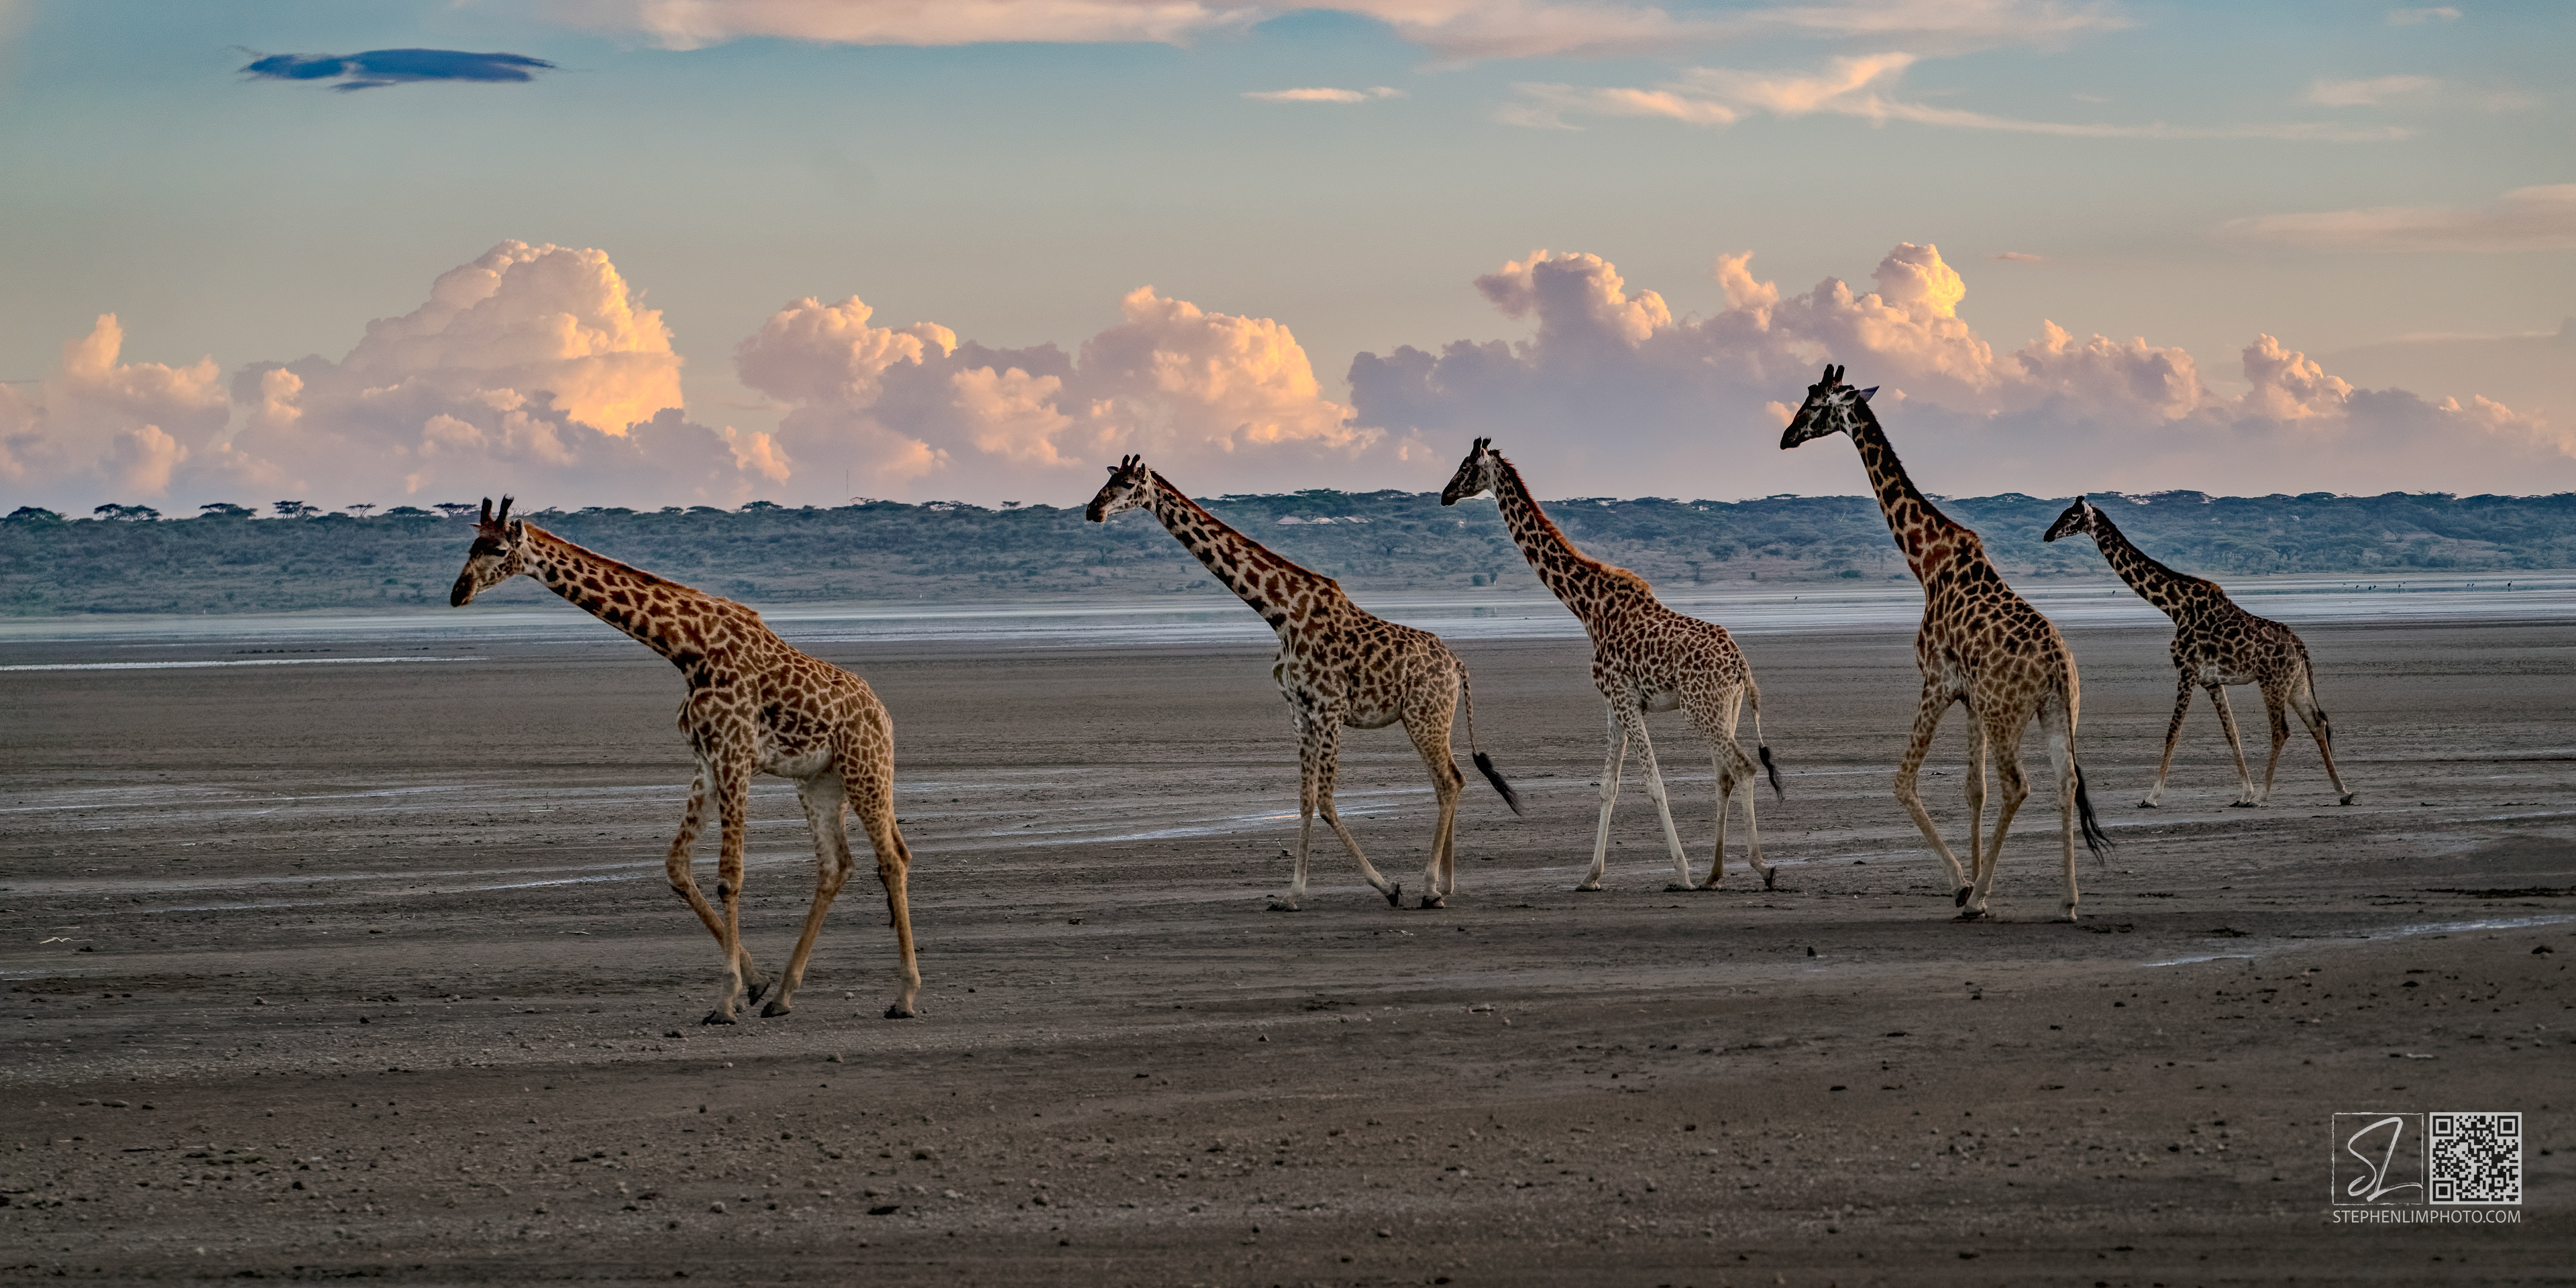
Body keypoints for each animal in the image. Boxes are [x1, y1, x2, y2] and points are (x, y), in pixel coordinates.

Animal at [448, 497, 921, 1022]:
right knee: (836, 865)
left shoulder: (735, 755)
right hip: (819, 782)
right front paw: (755, 983)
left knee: (893, 860)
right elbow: (677, 867)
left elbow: (730, 876)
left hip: (867, 769)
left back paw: (904, 997)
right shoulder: (706, 762)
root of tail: (883, 714)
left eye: (498, 549)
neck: (687, 647)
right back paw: (783, 996)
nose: (457, 593)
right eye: (470, 546)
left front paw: (725, 1001)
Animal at [1085, 457, 1522, 910]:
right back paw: (1444, 886)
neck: (1279, 614)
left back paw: (1430, 887)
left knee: (1450, 781)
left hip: (1426, 716)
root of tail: (1457, 665)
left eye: (1127, 484)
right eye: (1109, 479)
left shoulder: (1329, 710)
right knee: (1448, 781)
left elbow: (1326, 801)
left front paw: (1387, 886)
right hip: (1430, 717)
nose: (1092, 511)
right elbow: (1305, 802)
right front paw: (1291, 894)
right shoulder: (1300, 714)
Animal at [1439, 438, 1782, 893]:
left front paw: (1680, 872)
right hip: (1726, 708)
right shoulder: (1614, 705)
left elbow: (1654, 783)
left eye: (1465, 467)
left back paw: (1760, 866)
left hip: (1700, 709)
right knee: (1724, 776)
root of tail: (1741, 665)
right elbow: (1608, 787)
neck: (1589, 608)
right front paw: (1590, 876)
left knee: (1742, 768)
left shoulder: (1622, 699)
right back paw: (1714, 874)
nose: (1445, 494)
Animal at [1780, 366, 2112, 921]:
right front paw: (1977, 880)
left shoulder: (1936, 681)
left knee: (2019, 785)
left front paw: (1965, 886)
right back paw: (2068, 900)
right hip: (2057, 712)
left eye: (1814, 404)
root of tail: (2057, 666)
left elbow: (1902, 781)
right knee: (2064, 783)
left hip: (2006, 714)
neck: (1927, 562)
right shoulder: (1970, 697)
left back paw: (1979, 898)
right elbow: (1973, 790)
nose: (1785, 438)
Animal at [2044, 495, 2355, 808]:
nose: (2048, 535)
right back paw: (2342, 791)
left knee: (2282, 730)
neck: (2174, 607)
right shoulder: (2212, 681)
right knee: (2317, 722)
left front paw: (2152, 796)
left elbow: (2173, 732)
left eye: (2072, 516)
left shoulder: (2187, 671)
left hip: (2273, 681)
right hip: (2296, 683)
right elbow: (2232, 732)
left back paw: (2264, 795)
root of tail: (2300, 646)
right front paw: (2244, 792)